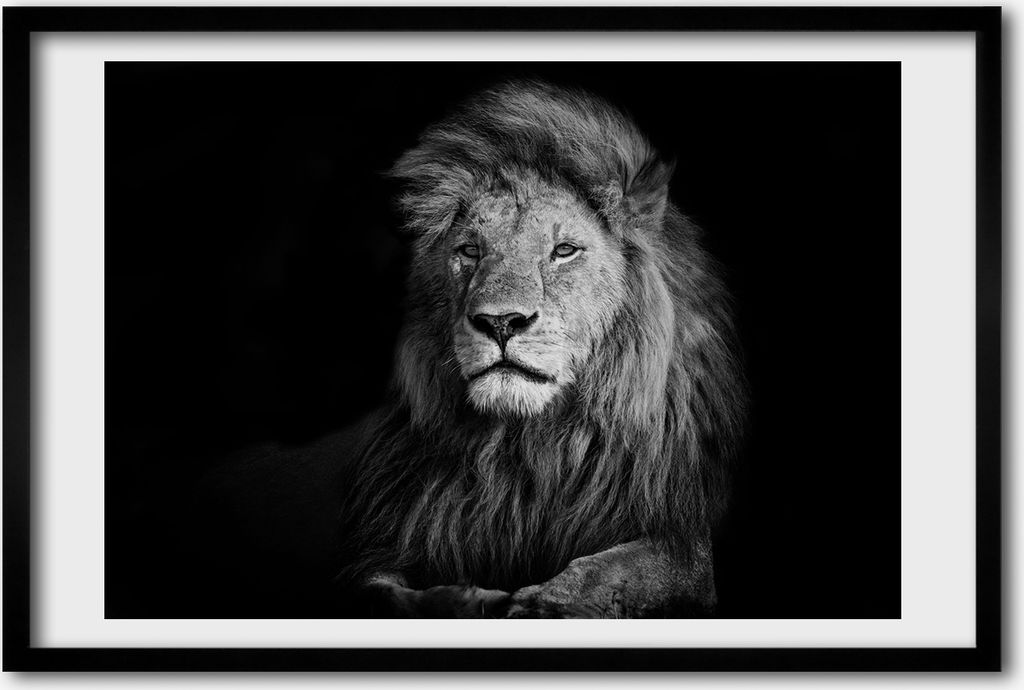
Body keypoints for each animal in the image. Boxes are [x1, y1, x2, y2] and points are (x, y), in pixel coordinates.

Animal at [330, 80, 747, 618]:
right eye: (470, 251)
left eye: (564, 251)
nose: (500, 322)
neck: (527, 448)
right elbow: (382, 593)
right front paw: (468, 600)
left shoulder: (684, 543)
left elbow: (611, 569)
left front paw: (541, 604)